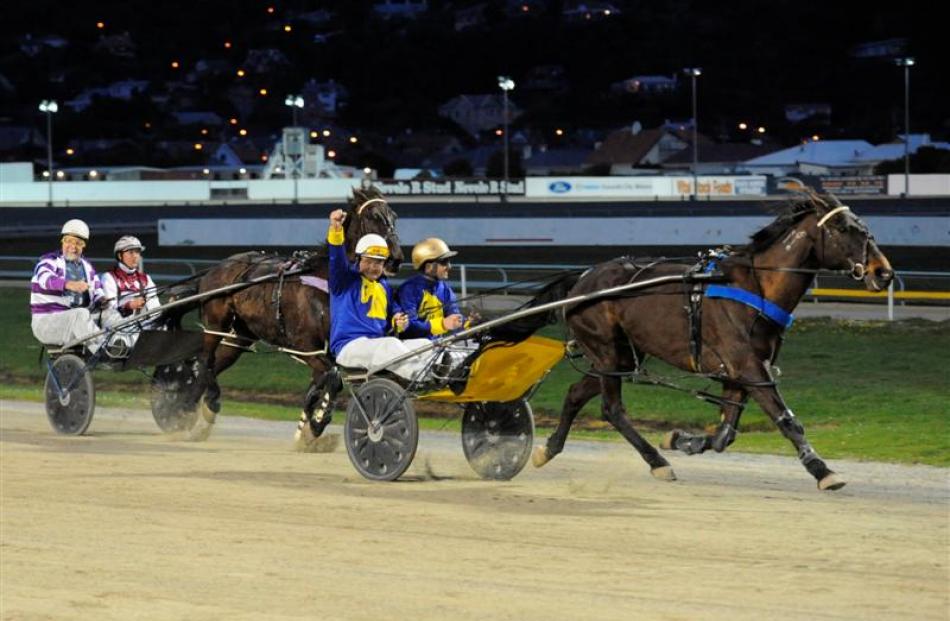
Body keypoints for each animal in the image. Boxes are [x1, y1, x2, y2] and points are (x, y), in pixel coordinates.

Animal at [182, 186, 402, 444]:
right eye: (373, 216)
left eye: (394, 216)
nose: (396, 259)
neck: (330, 283)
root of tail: (215, 268)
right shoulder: (305, 347)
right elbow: (332, 378)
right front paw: (318, 422)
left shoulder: (329, 351)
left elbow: (319, 387)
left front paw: (308, 427)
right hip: (216, 324)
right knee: (205, 361)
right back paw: (201, 404)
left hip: (240, 336)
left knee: (216, 363)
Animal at [506, 191, 892, 492]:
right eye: (844, 229)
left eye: (865, 228)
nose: (883, 272)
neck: (756, 288)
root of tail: (583, 279)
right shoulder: (748, 366)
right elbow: (786, 420)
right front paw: (823, 470)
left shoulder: (741, 371)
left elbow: (724, 435)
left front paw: (680, 439)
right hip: (607, 350)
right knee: (611, 408)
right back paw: (657, 462)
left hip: (621, 356)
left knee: (575, 394)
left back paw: (549, 450)